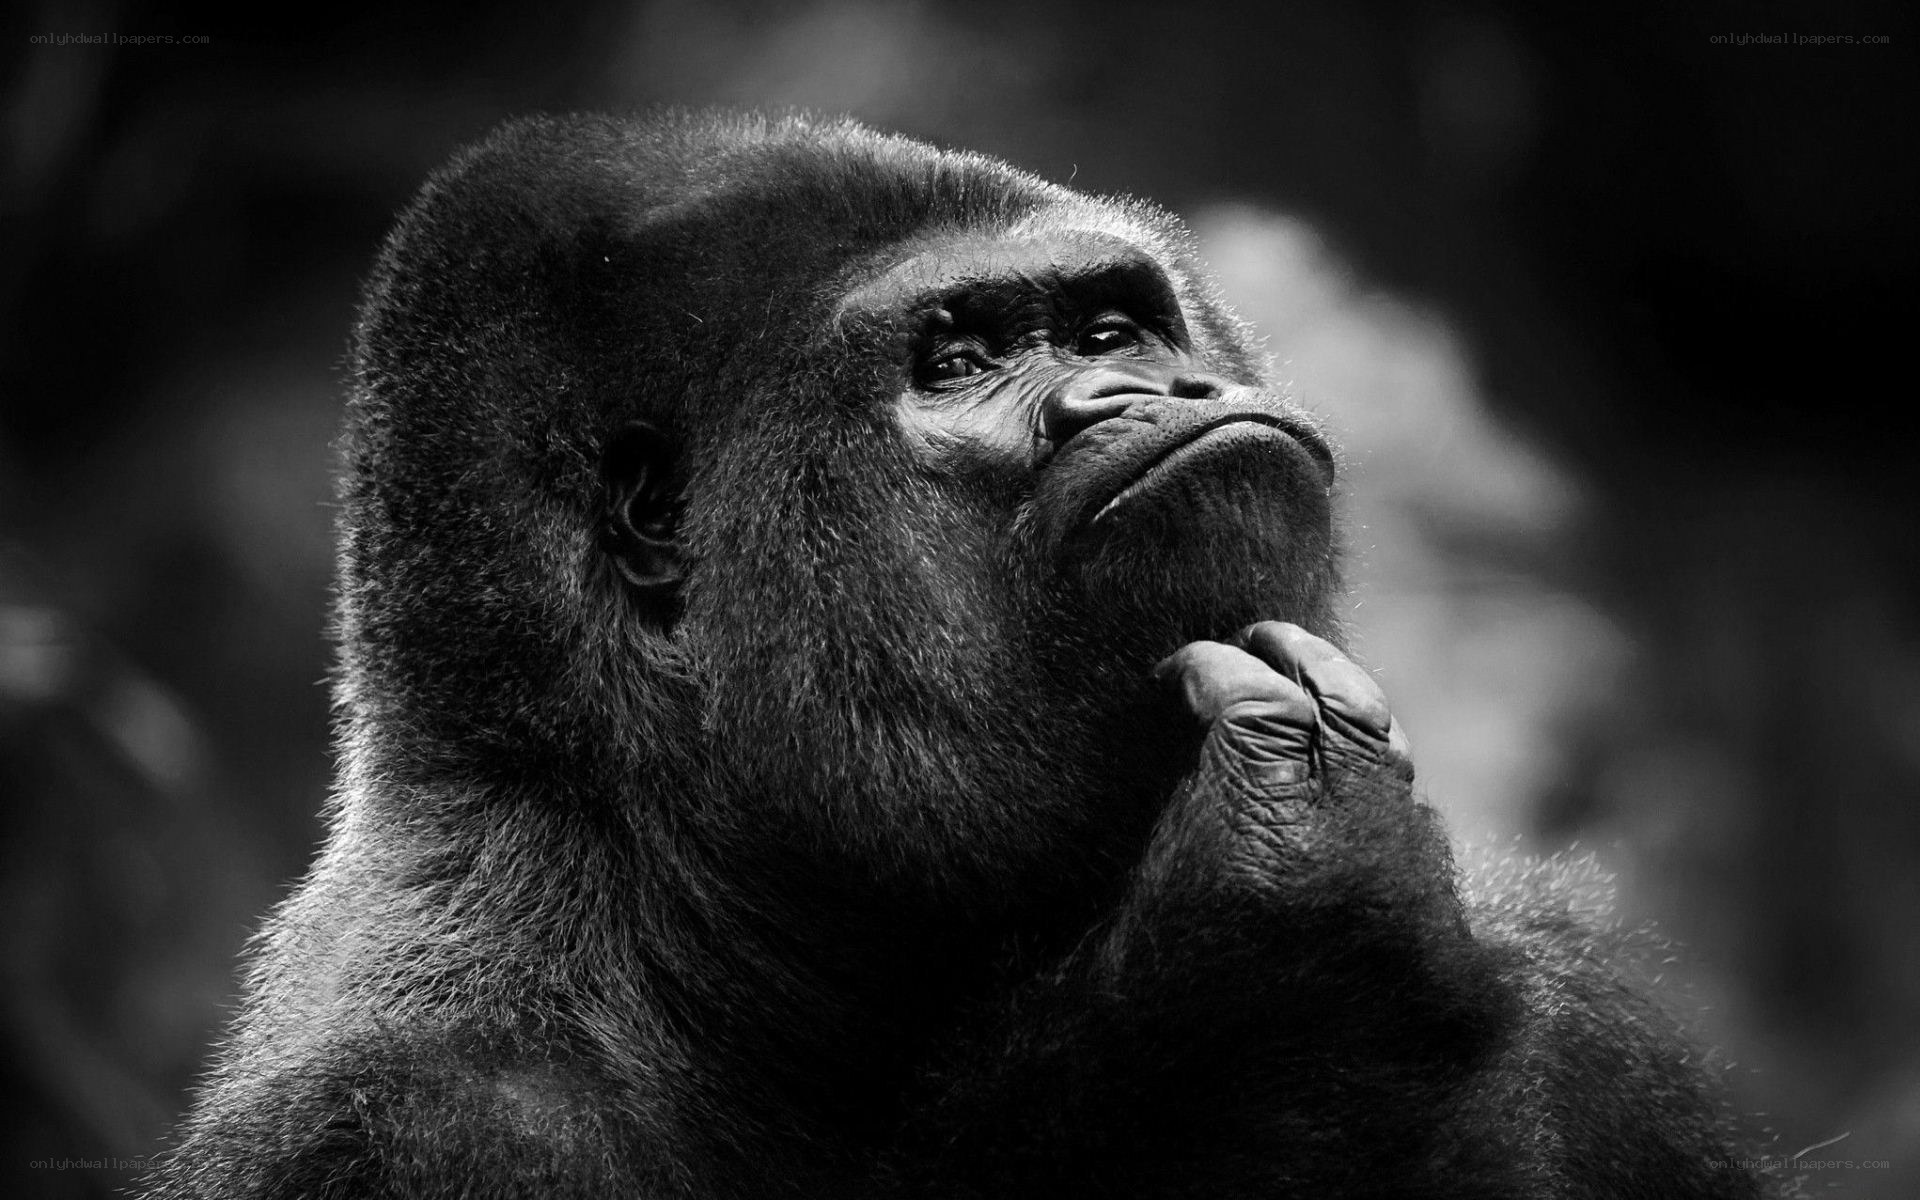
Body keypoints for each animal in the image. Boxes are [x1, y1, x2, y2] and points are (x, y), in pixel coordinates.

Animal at [145, 111, 1770, 1199]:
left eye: (1109, 326)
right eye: (960, 364)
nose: (1149, 389)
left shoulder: (1578, 991)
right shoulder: (413, 1122)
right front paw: (1276, 978)